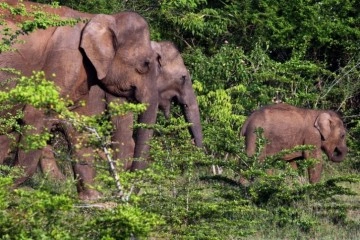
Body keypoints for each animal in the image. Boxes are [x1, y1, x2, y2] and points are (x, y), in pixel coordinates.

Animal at [0, 0, 158, 200]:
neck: (95, 19)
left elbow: (80, 128)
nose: (126, 197)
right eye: (145, 64)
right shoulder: (62, 63)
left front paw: (94, 199)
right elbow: (35, 116)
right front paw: (6, 189)